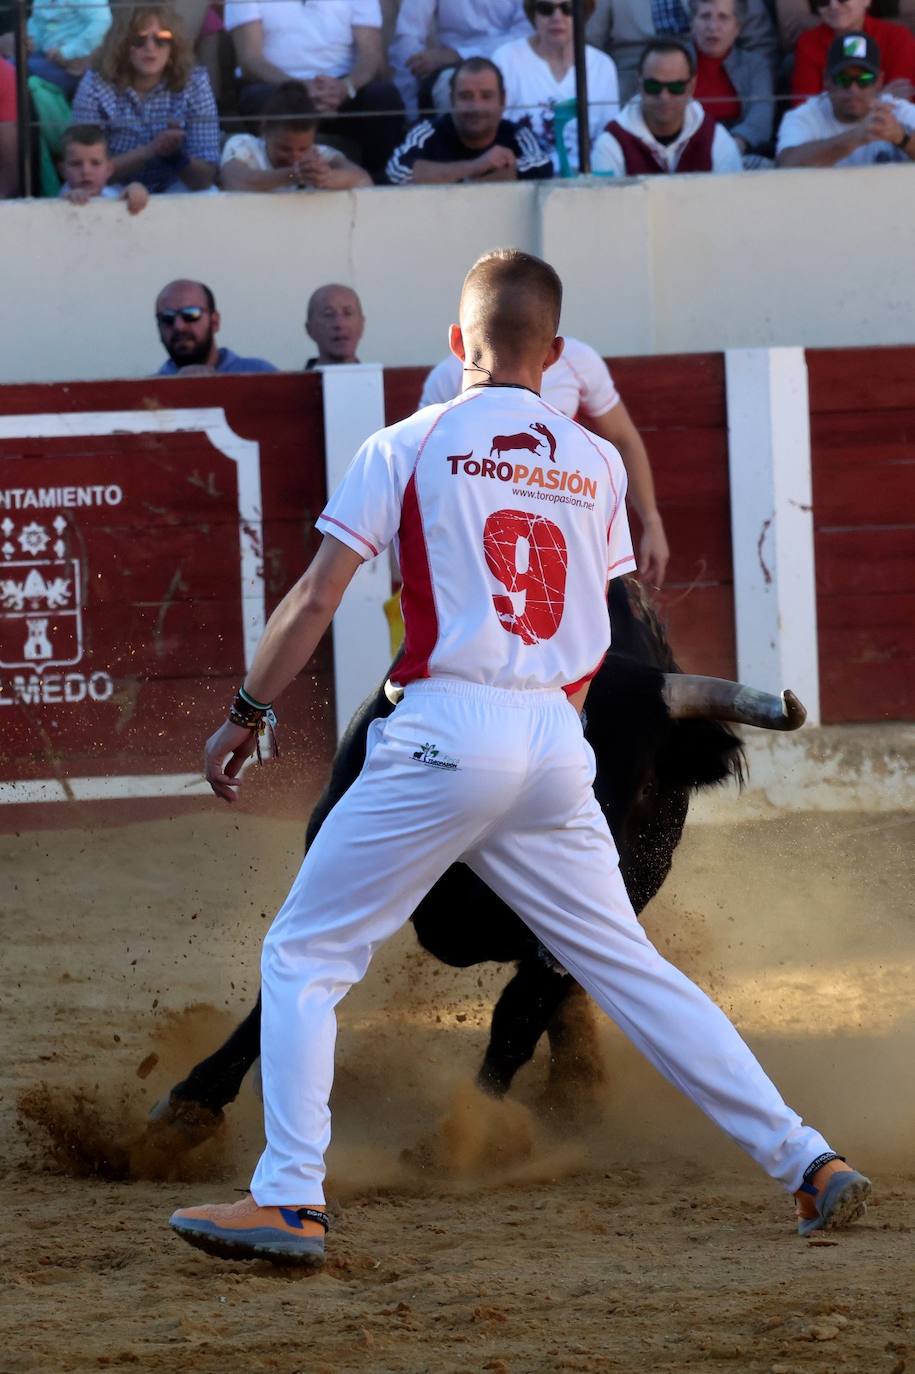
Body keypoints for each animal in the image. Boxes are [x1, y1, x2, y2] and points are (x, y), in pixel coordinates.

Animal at [151, 577, 796, 1126]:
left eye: (643, 788)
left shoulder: (586, 924)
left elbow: (519, 1016)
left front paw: (474, 1131)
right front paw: (191, 1103)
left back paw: (573, 1089)